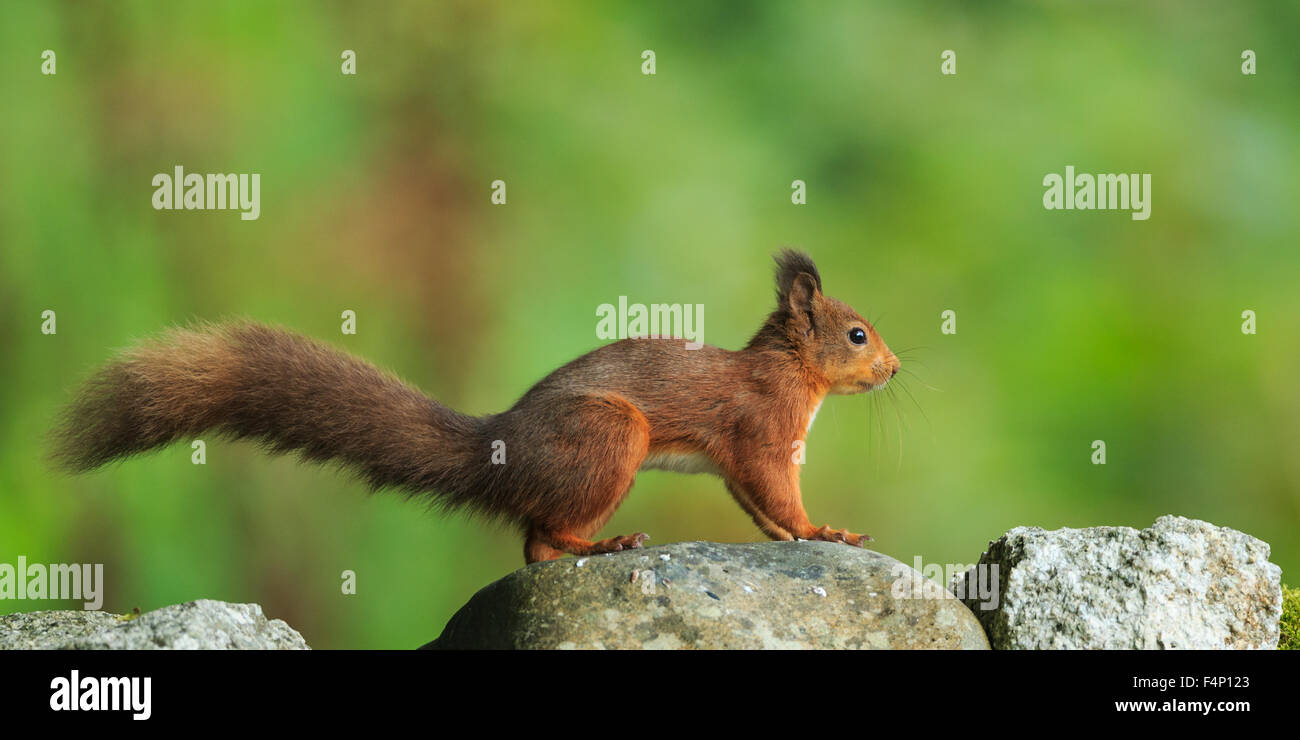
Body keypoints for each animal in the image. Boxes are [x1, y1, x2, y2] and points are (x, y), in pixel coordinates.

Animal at [53, 251, 904, 561]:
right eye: (858, 334)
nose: (896, 368)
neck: (790, 373)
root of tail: (497, 447)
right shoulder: (761, 431)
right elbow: (776, 494)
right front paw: (823, 530)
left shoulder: (738, 461)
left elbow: (756, 508)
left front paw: (800, 534)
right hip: (609, 436)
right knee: (542, 537)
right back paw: (604, 544)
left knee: (531, 547)